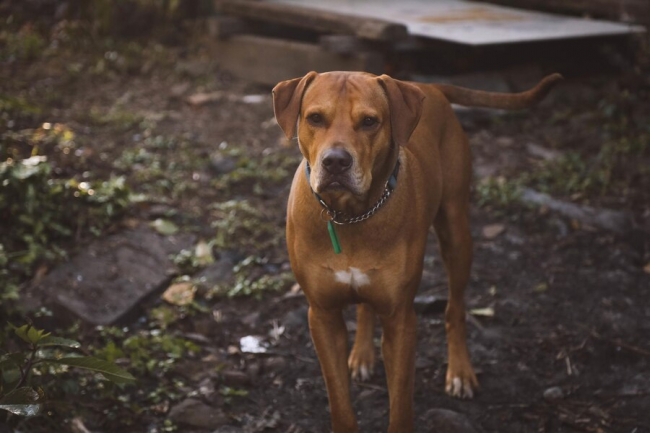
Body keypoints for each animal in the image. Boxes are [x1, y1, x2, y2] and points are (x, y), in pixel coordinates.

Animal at [270, 72, 560, 430]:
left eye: (369, 122)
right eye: (315, 118)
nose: (336, 161)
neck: (351, 214)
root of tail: (429, 87)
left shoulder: (401, 320)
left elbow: (401, 403)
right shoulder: (322, 316)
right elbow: (339, 400)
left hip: (456, 233)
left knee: (454, 309)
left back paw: (460, 371)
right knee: (365, 307)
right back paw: (362, 354)